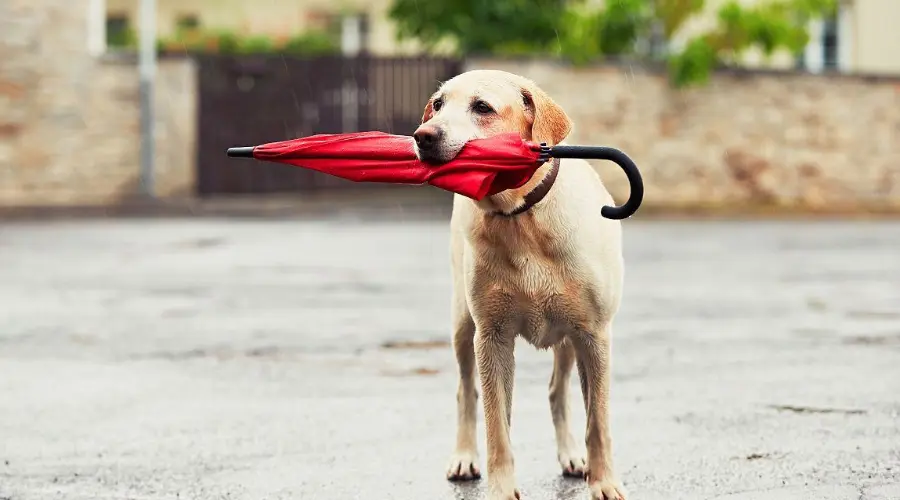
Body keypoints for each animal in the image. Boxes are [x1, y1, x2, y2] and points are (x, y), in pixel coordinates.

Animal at [414, 71, 624, 500]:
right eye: (438, 104)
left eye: (482, 107)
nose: (423, 136)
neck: (521, 218)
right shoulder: (492, 337)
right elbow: (497, 426)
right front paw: (501, 487)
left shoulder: (594, 335)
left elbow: (598, 420)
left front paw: (604, 481)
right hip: (463, 324)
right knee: (466, 391)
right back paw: (464, 456)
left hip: (569, 337)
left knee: (557, 390)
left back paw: (571, 455)